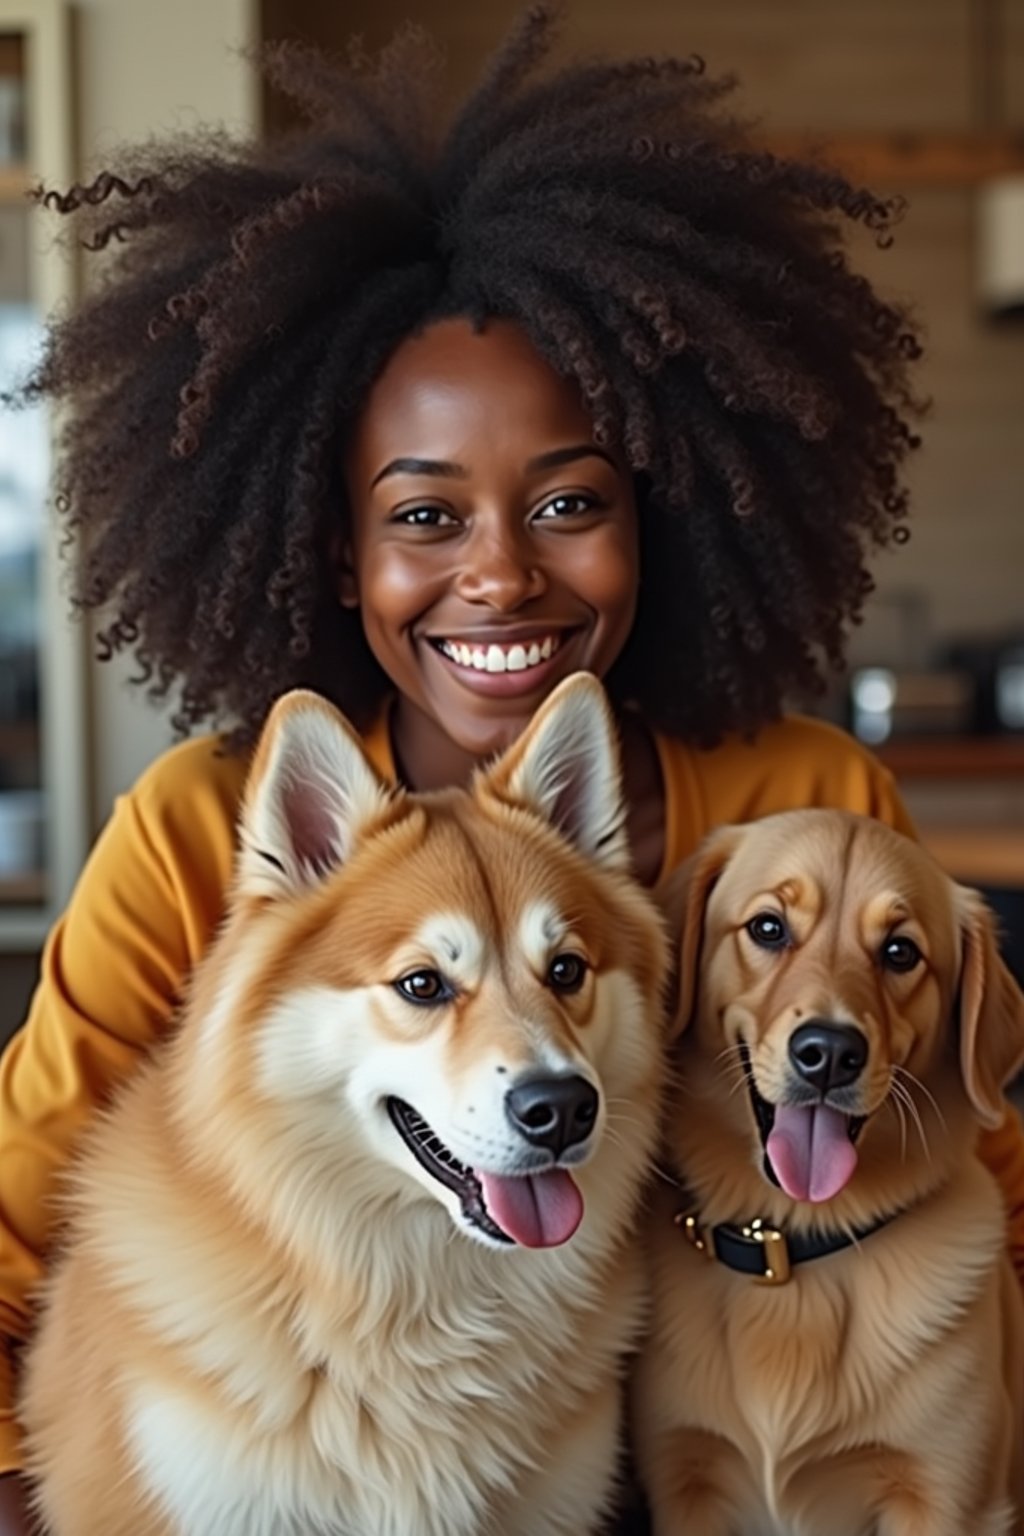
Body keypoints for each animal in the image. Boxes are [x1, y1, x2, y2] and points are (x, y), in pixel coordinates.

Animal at [632, 811, 1024, 1529]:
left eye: (900, 952)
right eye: (768, 928)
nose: (831, 1052)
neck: (793, 1244)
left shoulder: (946, 1497)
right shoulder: (686, 1480)